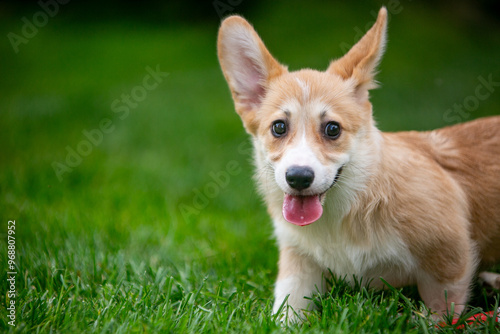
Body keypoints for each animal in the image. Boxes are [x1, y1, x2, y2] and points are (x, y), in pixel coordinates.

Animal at [217, 6, 500, 320]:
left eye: (332, 129)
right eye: (279, 127)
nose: (299, 177)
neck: (341, 213)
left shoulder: (450, 256)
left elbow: (440, 313)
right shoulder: (299, 264)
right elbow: (286, 312)